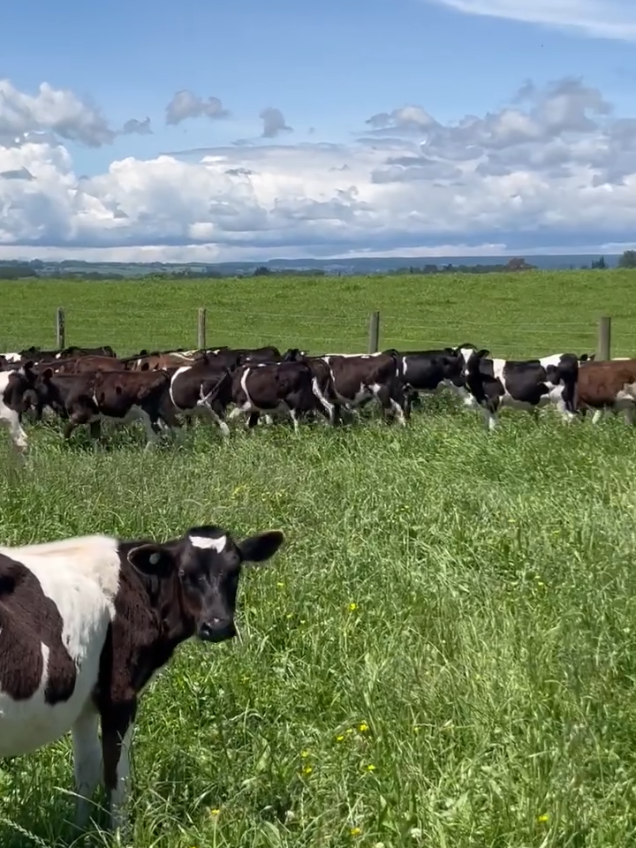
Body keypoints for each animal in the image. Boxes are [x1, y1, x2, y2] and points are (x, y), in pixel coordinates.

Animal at [0, 523, 284, 832]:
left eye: (235, 570)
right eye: (183, 573)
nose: (217, 625)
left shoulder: (85, 702)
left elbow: (86, 772)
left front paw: (78, 832)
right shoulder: (120, 696)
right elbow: (116, 777)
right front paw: (119, 834)